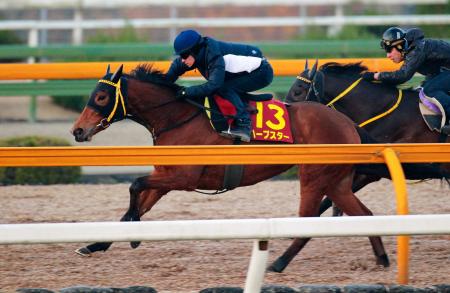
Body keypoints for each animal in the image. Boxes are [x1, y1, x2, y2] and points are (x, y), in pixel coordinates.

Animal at [72, 62, 388, 272]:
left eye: (101, 97)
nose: (77, 130)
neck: (178, 117)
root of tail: (347, 122)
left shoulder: (181, 177)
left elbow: (134, 185)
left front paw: (134, 237)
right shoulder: (166, 176)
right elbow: (137, 201)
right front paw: (96, 244)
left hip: (314, 176)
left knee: (308, 222)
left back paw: (278, 263)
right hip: (336, 181)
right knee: (364, 214)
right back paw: (382, 259)